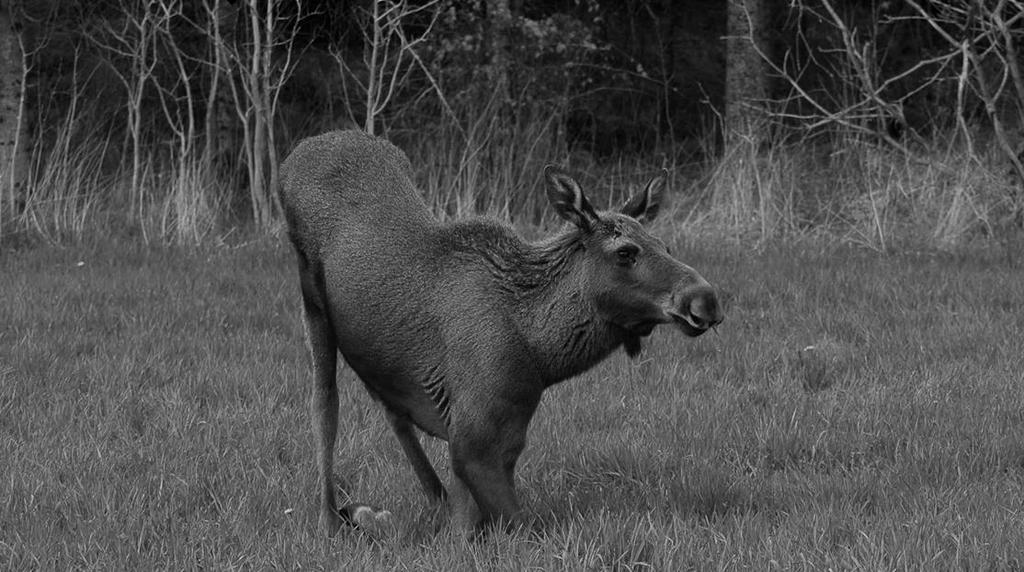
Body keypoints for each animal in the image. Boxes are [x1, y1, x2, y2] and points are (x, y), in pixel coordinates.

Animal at [278, 130, 720, 536]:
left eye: (664, 245)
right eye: (625, 252)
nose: (706, 299)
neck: (540, 354)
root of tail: (297, 153)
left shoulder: (498, 436)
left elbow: (466, 520)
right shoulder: (474, 440)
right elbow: (519, 528)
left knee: (391, 410)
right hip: (312, 304)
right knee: (325, 406)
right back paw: (331, 520)